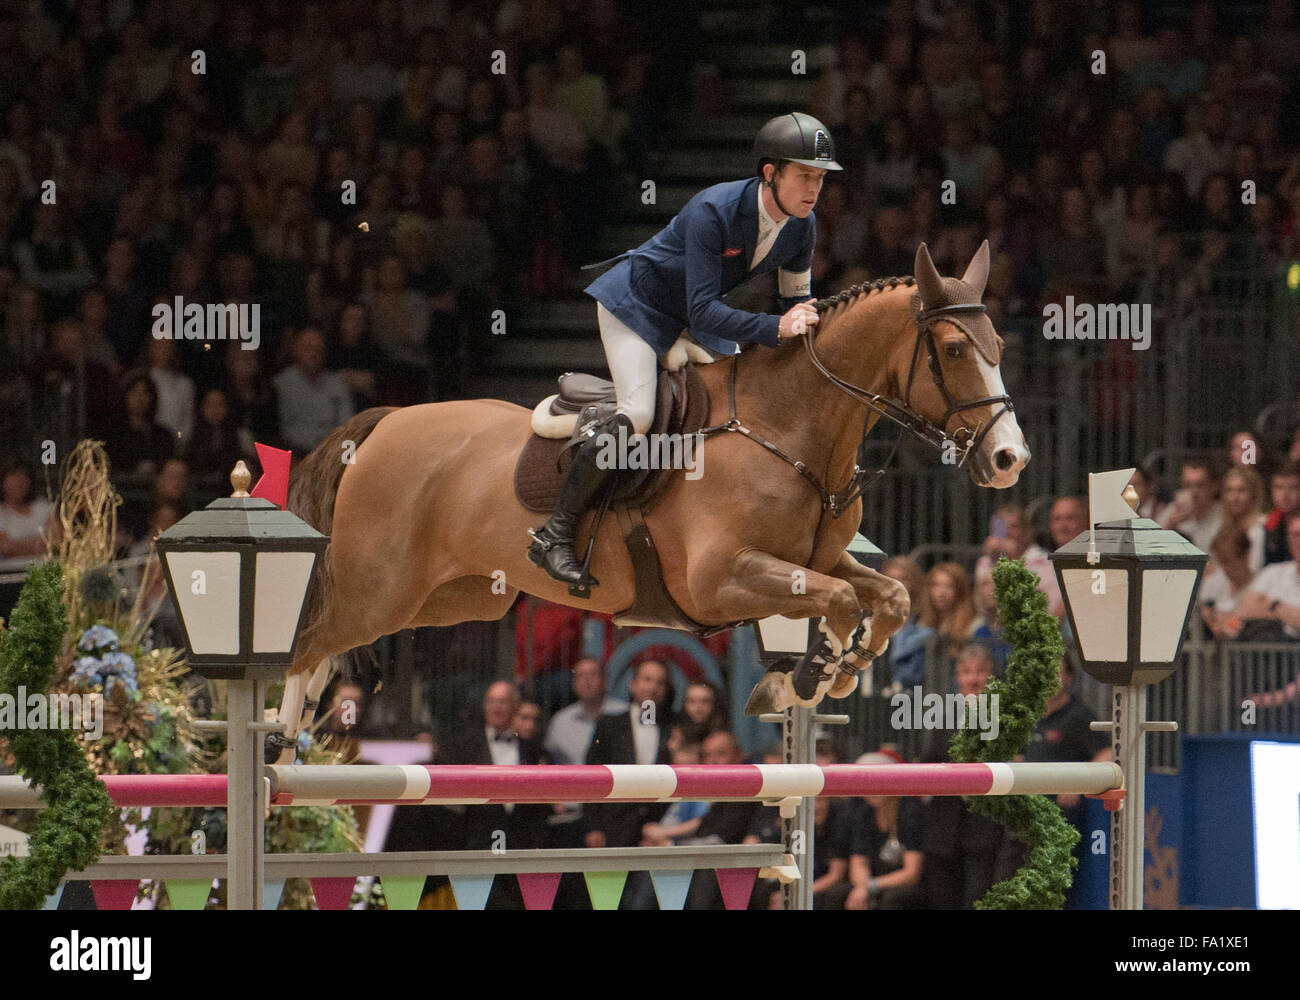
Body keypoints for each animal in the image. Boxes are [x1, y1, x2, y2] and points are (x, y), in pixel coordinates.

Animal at [269, 241, 1029, 759]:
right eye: (954, 349)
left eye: (999, 342)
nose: (1009, 459)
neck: (787, 427)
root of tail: (382, 424)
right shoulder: (718, 580)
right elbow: (840, 602)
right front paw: (808, 679)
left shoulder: (812, 562)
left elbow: (888, 596)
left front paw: (836, 671)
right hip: (381, 587)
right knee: (310, 638)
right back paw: (280, 740)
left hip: (451, 597)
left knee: (331, 642)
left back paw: (299, 732)